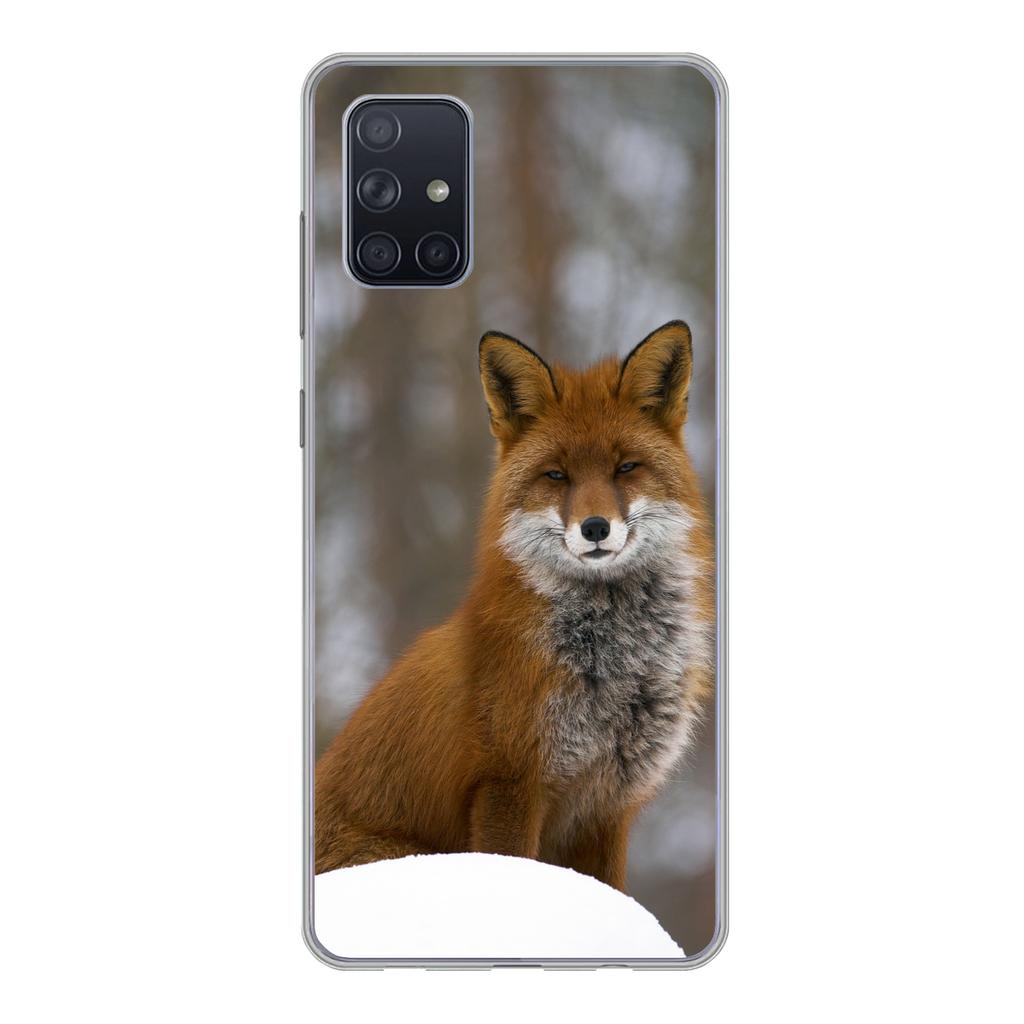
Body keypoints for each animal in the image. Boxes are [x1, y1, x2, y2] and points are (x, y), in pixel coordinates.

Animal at [314, 320, 714, 891]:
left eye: (626, 468)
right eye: (556, 475)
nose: (596, 528)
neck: (613, 667)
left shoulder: (609, 806)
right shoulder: (509, 783)